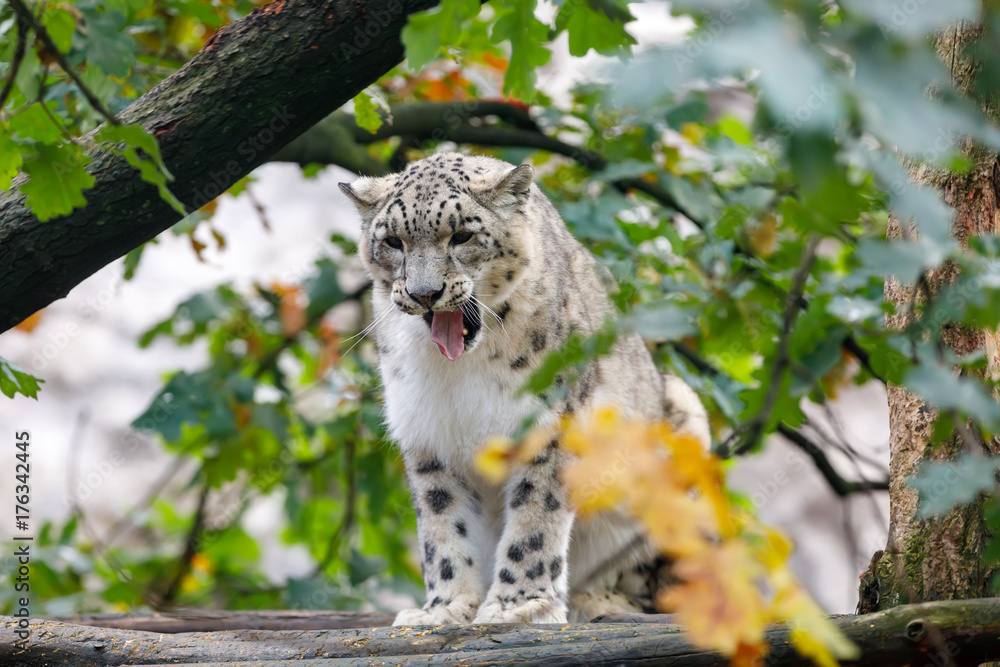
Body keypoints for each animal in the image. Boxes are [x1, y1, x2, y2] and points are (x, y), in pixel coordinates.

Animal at [339, 152, 710, 625]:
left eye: (462, 235)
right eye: (393, 242)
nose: (425, 294)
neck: (456, 375)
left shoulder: (550, 422)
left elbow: (536, 514)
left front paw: (519, 606)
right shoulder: (427, 434)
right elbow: (443, 524)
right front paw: (444, 609)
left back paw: (601, 601)